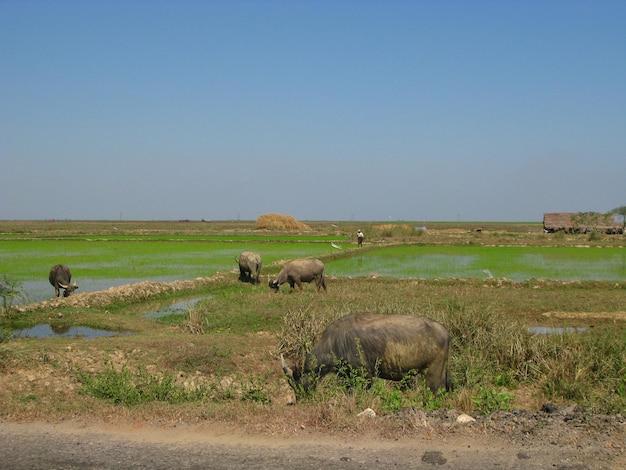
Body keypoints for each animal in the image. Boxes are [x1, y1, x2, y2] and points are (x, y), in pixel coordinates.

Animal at [280, 314, 450, 394]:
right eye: (290, 384)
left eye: (297, 381)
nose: (300, 397)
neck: (335, 342)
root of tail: (445, 332)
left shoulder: (365, 375)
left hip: (433, 372)